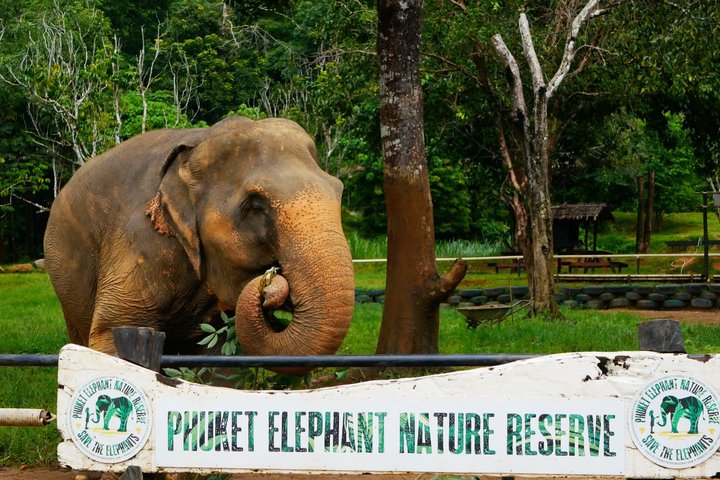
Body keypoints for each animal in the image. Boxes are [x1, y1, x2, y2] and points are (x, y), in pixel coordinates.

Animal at [44, 116, 355, 371]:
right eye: (255, 206)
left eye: (339, 190)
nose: (269, 280)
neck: (199, 142)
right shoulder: (141, 243)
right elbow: (111, 334)